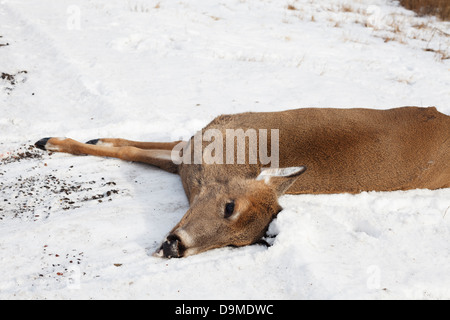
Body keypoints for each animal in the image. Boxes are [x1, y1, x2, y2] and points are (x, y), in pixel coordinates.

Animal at [35, 106, 450, 258]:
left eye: (236, 245)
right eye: (229, 206)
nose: (174, 247)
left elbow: (133, 152)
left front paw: (57, 141)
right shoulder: (191, 148)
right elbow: (133, 148)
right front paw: (59, 140)